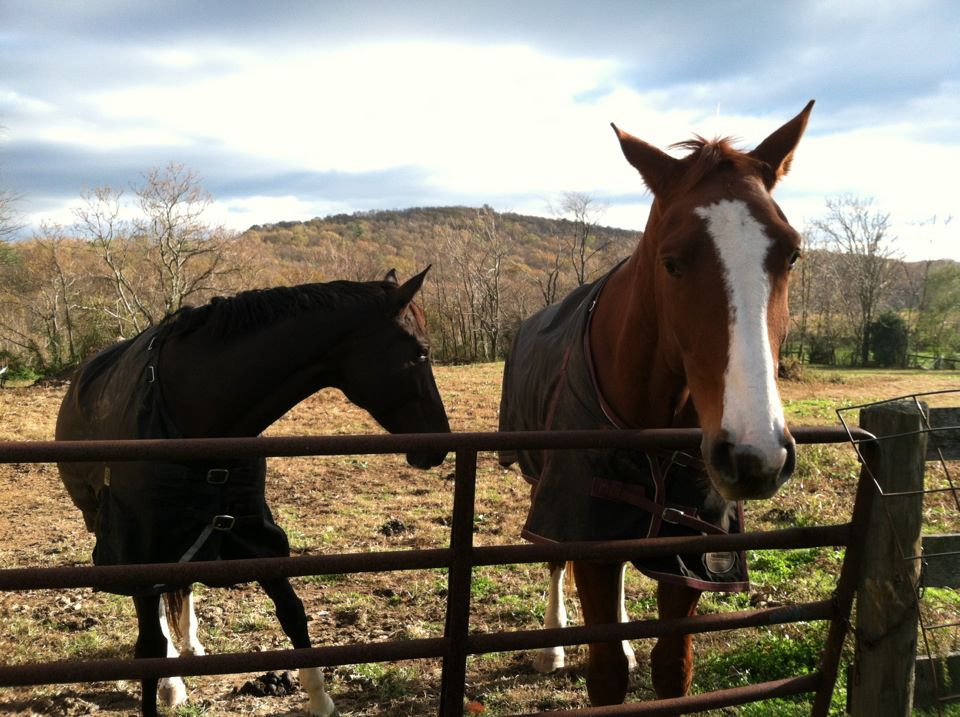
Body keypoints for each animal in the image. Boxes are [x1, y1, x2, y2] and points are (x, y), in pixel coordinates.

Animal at [55, 268, 450, 717]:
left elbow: (292, 612)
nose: (439, 443)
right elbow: (150, 645)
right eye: (421, 352)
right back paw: (174, 679)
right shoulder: (139, 543)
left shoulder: (252, 532)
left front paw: (320, 700)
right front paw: (166, 682)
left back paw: (190, 646)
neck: (192, 409)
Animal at [499, 101, 813, 708]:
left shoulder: (690, 554)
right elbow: (605, 676)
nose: (755, 456)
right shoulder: (583, 520)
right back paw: (552, 648)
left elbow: (673, 669)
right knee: (554, 560)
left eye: (791, 253)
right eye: (672, 262)